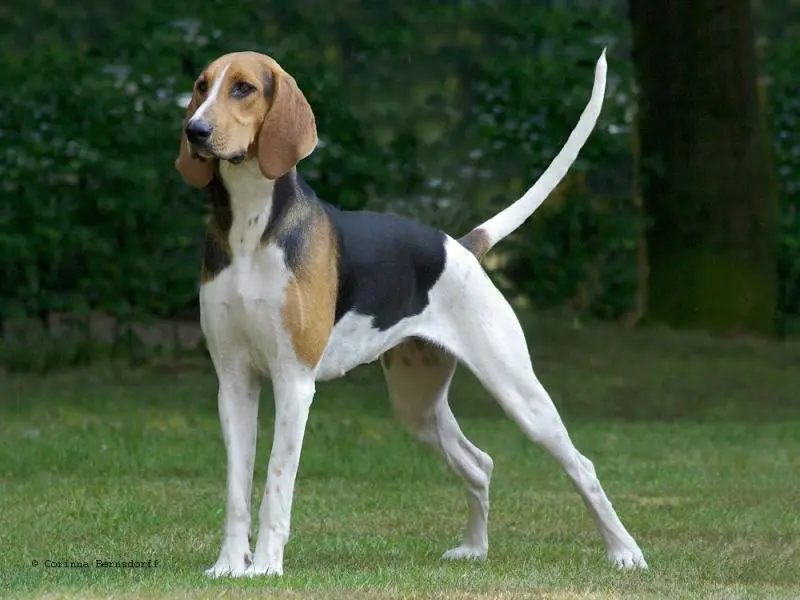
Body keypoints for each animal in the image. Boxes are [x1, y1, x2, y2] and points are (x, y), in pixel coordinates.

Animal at [177, 50, 648, 576]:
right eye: (201, 86)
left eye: (243, 88)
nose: (194, 130)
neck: (251, 228)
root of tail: (462, 246)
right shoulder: (235, 383)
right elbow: (236, 490)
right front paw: (228, 567)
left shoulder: (293, 383)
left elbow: (277, 483)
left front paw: (264, 567)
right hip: (417, 405)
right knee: (479, 463)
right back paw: (474, 548)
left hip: (520, 395)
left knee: (581, 466)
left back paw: (624, 551)